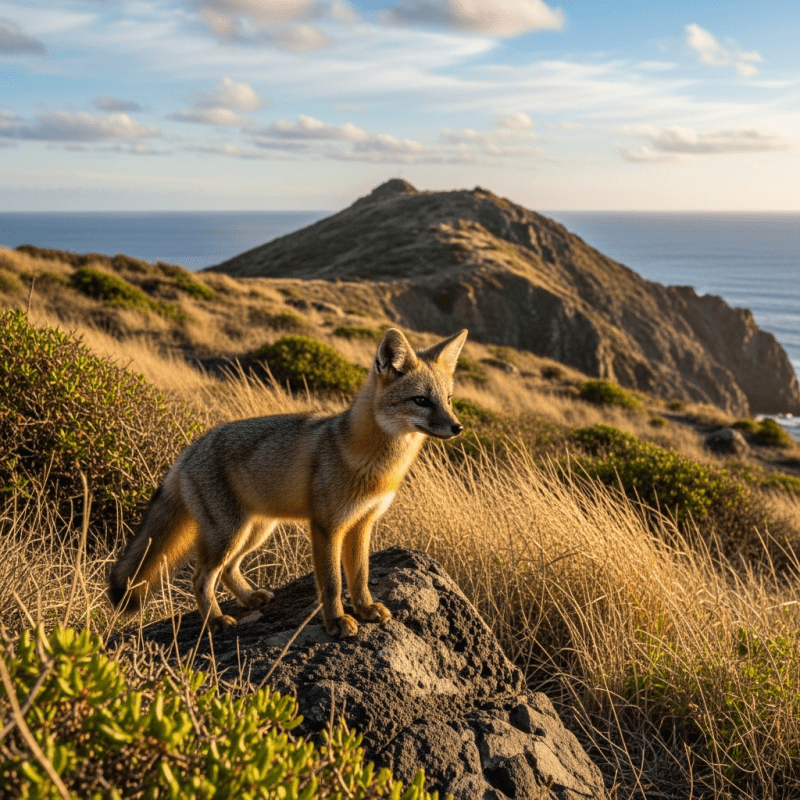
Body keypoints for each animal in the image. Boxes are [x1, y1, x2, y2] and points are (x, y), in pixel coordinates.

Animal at [109, 327, 467, 637]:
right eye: (421, 400)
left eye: (449, 399)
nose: (458, 427)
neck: (374, 464)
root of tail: (188, 450)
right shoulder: (327, 527)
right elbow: (333, 583)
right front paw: (336, 622)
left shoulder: (362, 524)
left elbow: (360, 576)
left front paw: (365, 609)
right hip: (229, 534)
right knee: (201, 578)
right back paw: (215, 621)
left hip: (255, 531)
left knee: (228, 570)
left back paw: (248, 599)